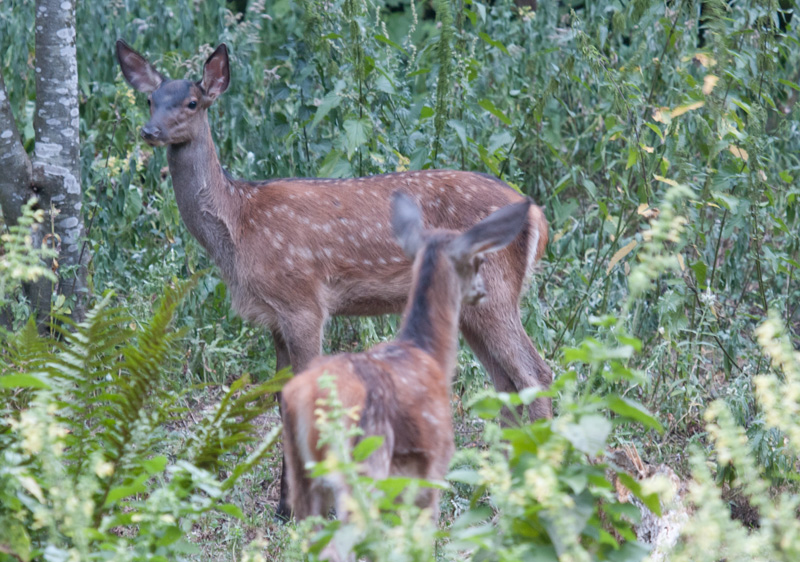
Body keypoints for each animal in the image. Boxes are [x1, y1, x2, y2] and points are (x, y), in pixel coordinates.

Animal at [115, 39, 552, 516]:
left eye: (192, 103)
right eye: (152, 99)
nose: (149, 131)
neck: (239, 228)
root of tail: (539, 218)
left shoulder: (303, 302)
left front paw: (310, 508)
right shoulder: (275, 317)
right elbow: (281, 397)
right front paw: (285, 505)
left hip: (497, 292)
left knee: (536, 373)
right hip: (474, 304)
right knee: (507, 383)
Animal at [282, 191, 532, 556]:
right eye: (478, 261)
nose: (482, 291)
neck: (428, 353)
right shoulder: (435, 465)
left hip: (302, 476)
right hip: (362, 466)